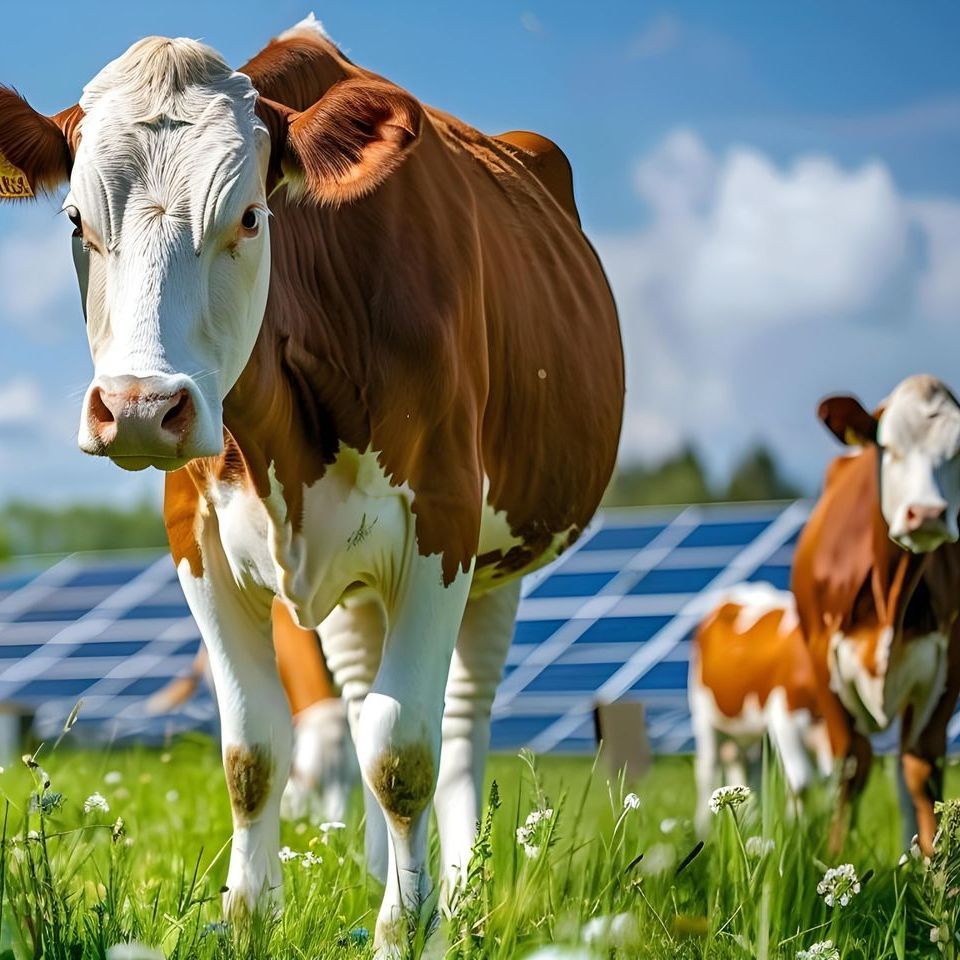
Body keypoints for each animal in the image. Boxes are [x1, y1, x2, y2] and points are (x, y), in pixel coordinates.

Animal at [0, 16, 624, 952]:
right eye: (76, 219)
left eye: (251, 216)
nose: (141, 408)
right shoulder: (198, 546)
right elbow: (253, 754)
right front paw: (247, 919)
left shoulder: (442, 527)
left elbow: (404, 753)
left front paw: (406, 930)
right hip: (355, 581)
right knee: (360, 695)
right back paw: (376, 872)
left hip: (498, 560)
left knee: (460, 719)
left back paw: (459, 894)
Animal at [688, 576, 832, 832]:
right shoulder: (784, 717)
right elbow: (801, 781)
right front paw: (798, 830)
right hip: (704, 716)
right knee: (707, 768)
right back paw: (703, 828)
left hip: (753, 731)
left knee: (749, 771)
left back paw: (749, 820)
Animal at [792, 376, 960, 856]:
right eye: (887, 446)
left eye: (958, 450)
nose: (928, 514)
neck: (891, 592)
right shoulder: (822, 657)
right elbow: (852, 764)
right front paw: (833, 857)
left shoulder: (949, 663)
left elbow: (922, 770)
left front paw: (938, 869)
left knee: (905, 773)